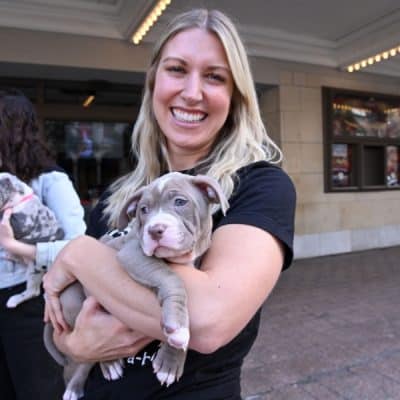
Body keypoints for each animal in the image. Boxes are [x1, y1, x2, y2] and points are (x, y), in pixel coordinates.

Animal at [43, 172, 228, 400]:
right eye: (144, 210)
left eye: (180, 202)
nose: (155, 230)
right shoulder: (132, 253)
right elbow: (172, 279)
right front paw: (177, 328)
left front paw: (171, 360)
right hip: (72, 301)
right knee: (86, 351)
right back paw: (100, 370)